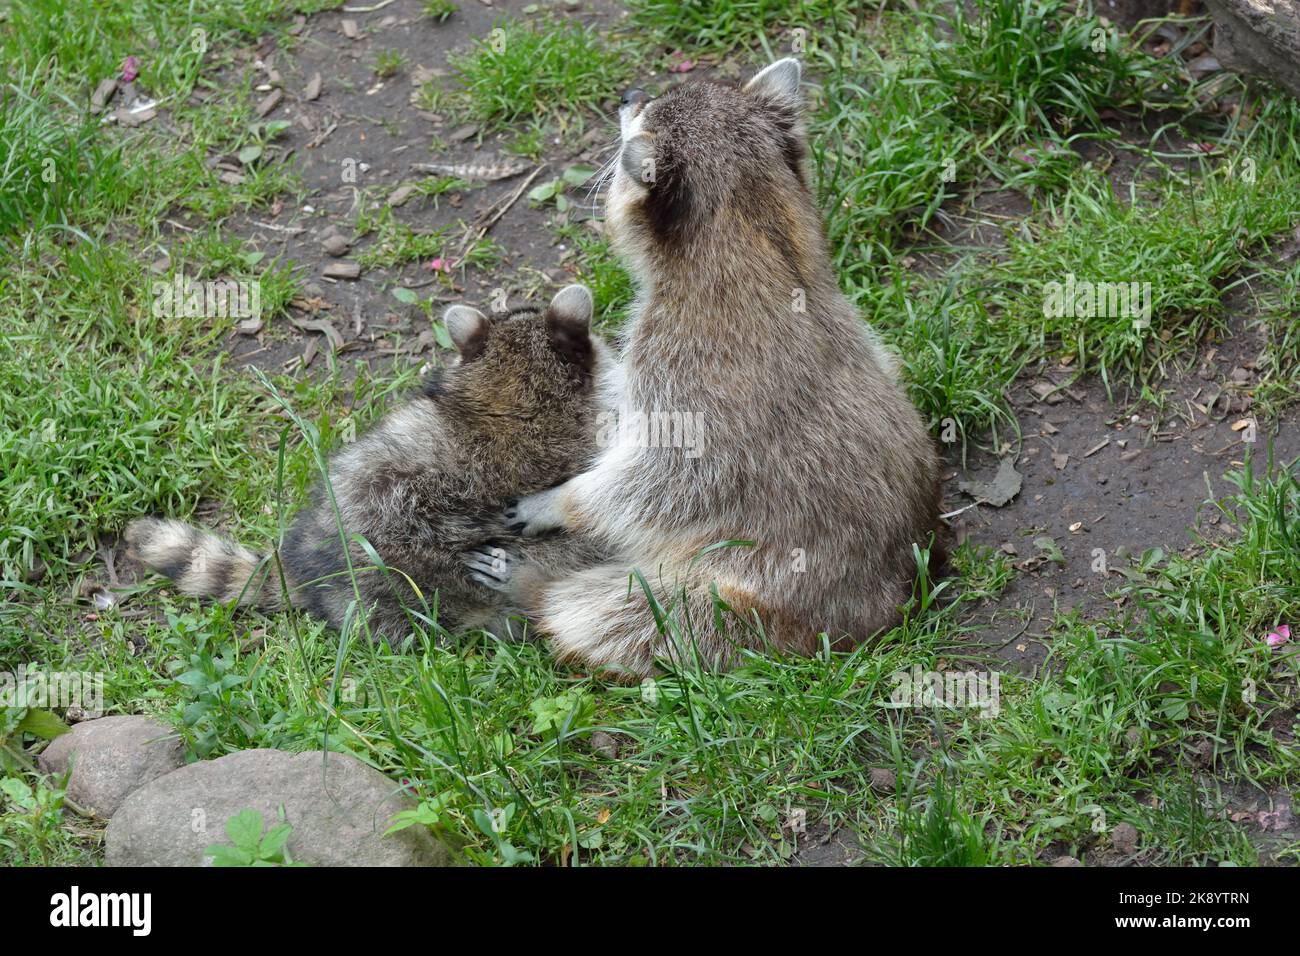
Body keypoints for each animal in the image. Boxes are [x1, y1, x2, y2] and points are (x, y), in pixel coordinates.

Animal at [465, 60, 945, 679]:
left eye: (644, 111)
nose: (628, 94)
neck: (755, 227)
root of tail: (879, 618)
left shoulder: (679, 365)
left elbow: (664, 476)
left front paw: (563, 499)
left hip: (734, 611)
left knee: (610, 613)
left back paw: (539, 591)